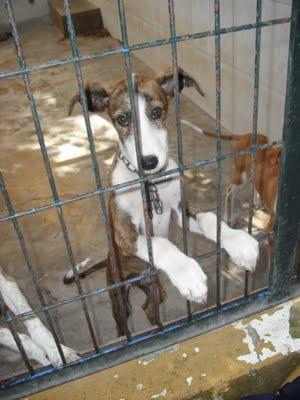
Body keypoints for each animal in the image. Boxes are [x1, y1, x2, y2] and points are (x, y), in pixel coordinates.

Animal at [65, 69, 258, 334]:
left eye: (156, 112)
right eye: (122, 119)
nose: (149, 161)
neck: (150, 183)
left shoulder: (181, 211)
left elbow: (209, 218)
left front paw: (239, 243)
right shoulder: (124, 235)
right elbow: (159, 243)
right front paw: (188, 273)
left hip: (156, 290)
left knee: (149, 307)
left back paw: (159, 327)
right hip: (119, 293)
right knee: (122, 320)